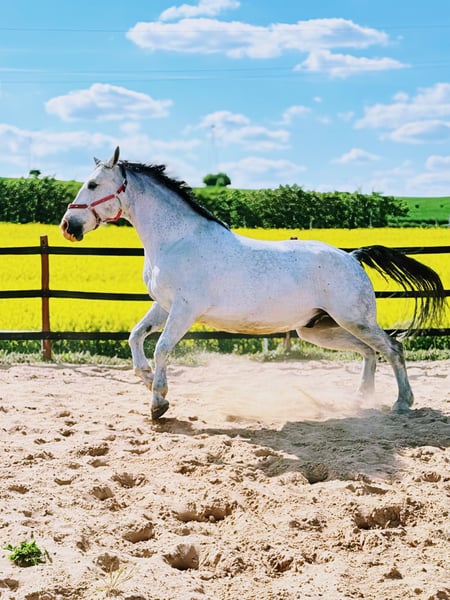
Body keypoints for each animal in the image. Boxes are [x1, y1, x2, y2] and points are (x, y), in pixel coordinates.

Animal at [60, 147, 445, 419]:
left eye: (93, 184)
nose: (68, 226)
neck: (176, 239)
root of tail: (352, 257)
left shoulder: (184, 310)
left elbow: (162, 348)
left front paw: (158, 403)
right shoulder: (164, 306)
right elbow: (135, 336)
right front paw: (144, 377)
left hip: (354, 320)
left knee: (392, 348)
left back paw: (402, 403)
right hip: (318, 328)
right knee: (369, 351)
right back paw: (360, 400)